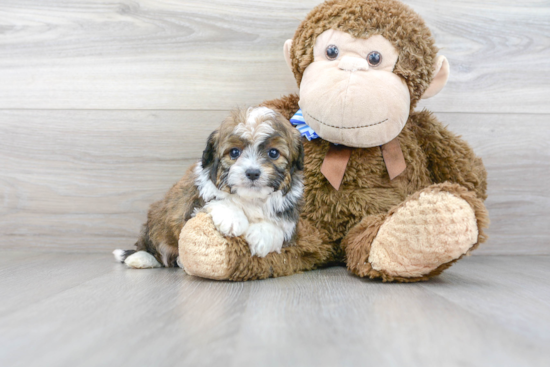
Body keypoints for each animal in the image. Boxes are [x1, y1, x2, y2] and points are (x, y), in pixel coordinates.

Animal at [115, 108, 306, 268]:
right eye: (234, 152)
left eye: (273, 153)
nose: (252, 173)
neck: (250, 198)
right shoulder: (195, 200)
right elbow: (217, 199)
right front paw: (232, 218)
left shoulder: (288, 211)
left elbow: (280, 224)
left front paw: (262, 236)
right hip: (156, 221)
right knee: (151, 247)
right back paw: (140, 258)